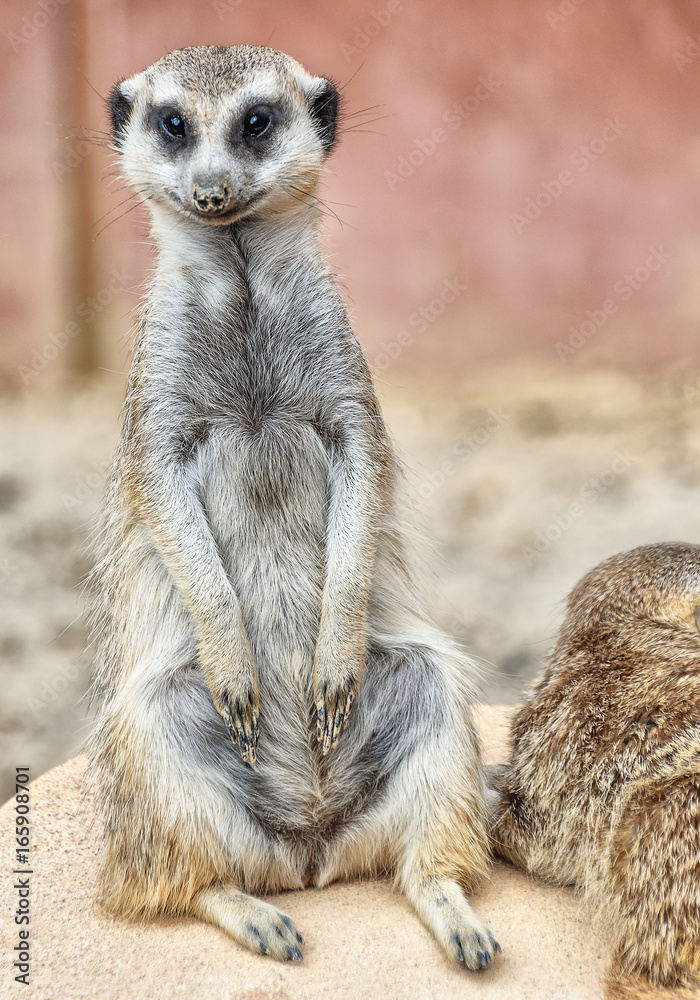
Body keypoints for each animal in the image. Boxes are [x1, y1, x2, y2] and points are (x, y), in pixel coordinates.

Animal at [86, 45, 500, 969]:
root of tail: (310, 850)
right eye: (173, 123)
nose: (210, 190)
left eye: (256, 121)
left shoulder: (346, 376)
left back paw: (454, 912)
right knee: (176, 868)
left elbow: (364, 462)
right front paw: (234, 656)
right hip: (161, 732)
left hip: (416, 692)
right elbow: (158, 485)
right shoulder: (154, 397)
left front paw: (333, 650)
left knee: (427, 823)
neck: (241, 282)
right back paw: (249, 910)